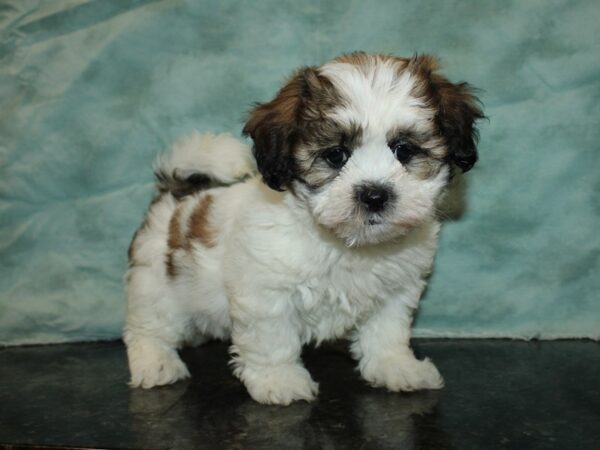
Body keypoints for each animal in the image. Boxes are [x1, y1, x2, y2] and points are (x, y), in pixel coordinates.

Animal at [123, 51, 482, 404]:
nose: (374, 194)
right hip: (156, 284)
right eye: (335, 155)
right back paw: (155, 363)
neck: (347, 243)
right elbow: (273, 337)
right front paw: (279, 380)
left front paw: (396, 367)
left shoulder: (395, 289)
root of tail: (178, 194)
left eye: (404, 150)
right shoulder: (265, 291)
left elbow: (387, 332)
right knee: (148, 326)